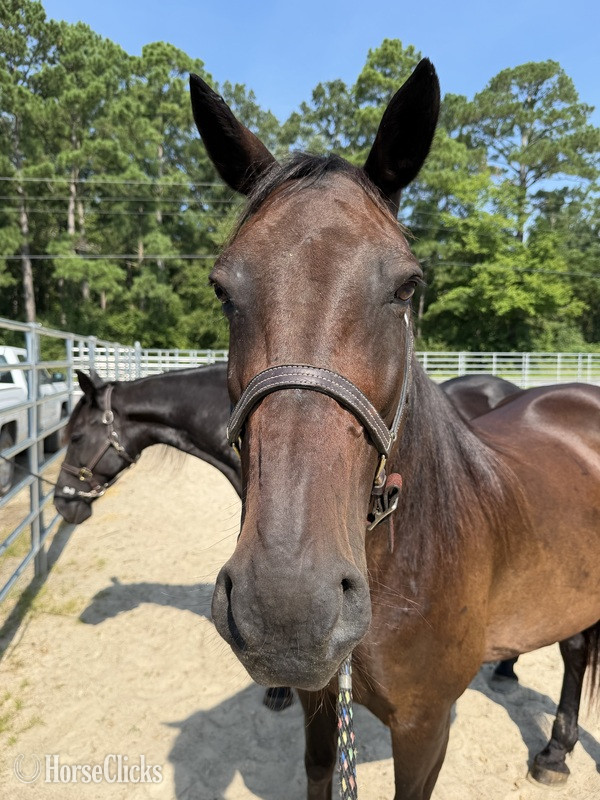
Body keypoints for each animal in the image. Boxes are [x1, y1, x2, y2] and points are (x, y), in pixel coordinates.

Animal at [189, 59, 600, 798]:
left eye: (407, 286)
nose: (286, 609)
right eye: (224, 291)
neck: (408, 559)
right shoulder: (322, 701)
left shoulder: (425, 726)